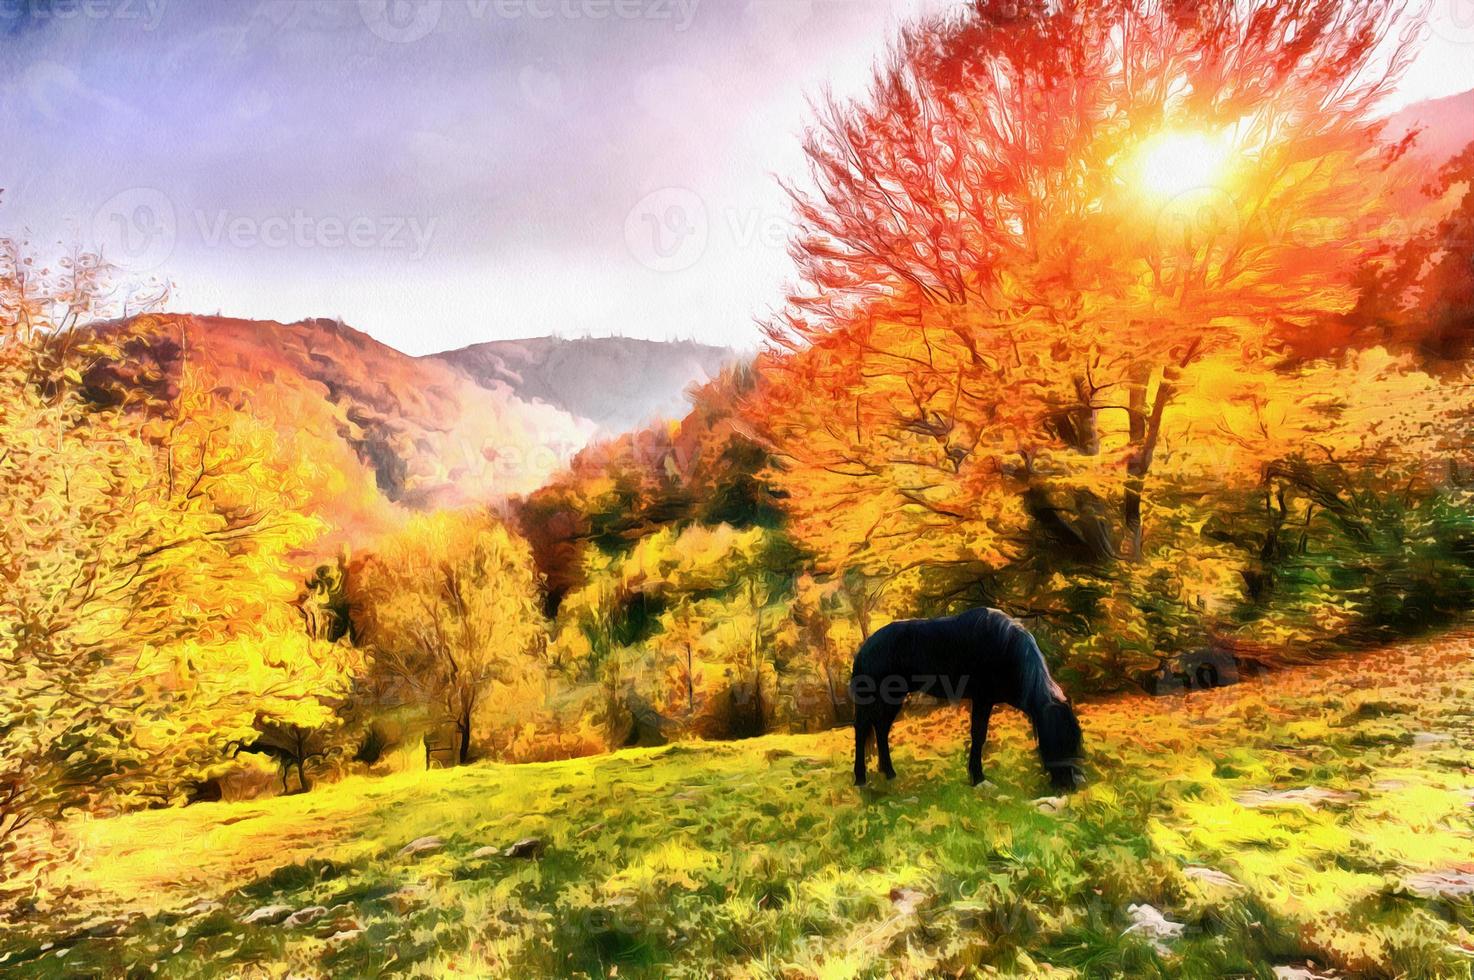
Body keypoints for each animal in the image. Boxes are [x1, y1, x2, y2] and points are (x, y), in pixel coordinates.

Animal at [854, 607, 1084, 789]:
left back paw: (889, 773)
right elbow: (978, 735)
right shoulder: (982, 700)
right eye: (1058, 737)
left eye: (1075, 740)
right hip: (873, 699)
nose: (1069, 785)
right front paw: (978, 777)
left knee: (881, 729)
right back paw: (860, 779)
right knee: (862, 730)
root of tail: (865, 647)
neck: (1006, 649)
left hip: (894, 699)